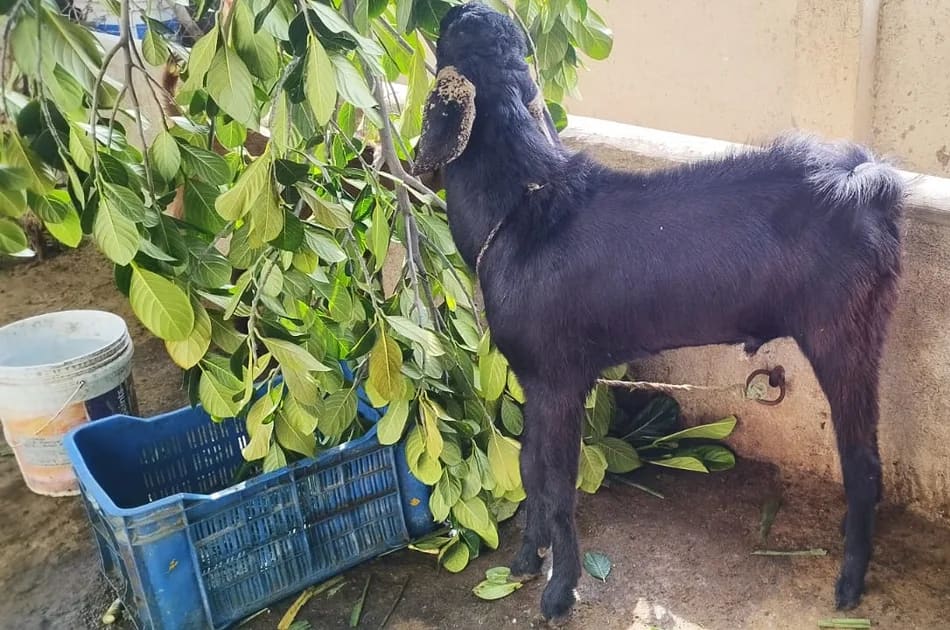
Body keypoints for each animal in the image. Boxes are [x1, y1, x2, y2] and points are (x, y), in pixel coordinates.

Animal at [410, 3, 905, 623]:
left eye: (444, 34)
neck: (523, 210)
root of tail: (869, 185)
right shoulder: (531, 376)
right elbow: (528, 469)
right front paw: (524, 561)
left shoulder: (560, 377)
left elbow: (558, 486)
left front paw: (559, 591)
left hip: (843, 330)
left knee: (864, 465)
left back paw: (848, 586)